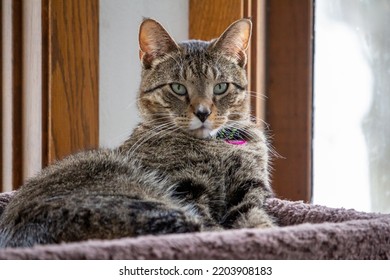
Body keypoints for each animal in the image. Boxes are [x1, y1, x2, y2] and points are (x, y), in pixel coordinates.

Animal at [0, 18, 274, 248]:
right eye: (178, 88)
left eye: (220, 87)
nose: (203, 112)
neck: (217, 146)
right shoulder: (186, 188)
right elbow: (224, 225)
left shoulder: (249, 190)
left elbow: (258, 221)